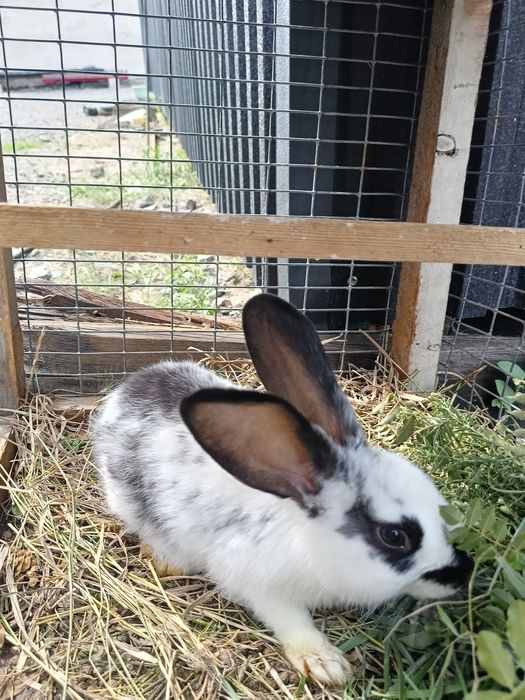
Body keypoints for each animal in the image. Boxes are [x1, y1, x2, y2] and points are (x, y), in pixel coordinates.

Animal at [92, 293, 473, 687]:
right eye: (395, 536)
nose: (463, 572)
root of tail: (124, 392)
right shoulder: (258, 584)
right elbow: (291, 620)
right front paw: (325, 663)